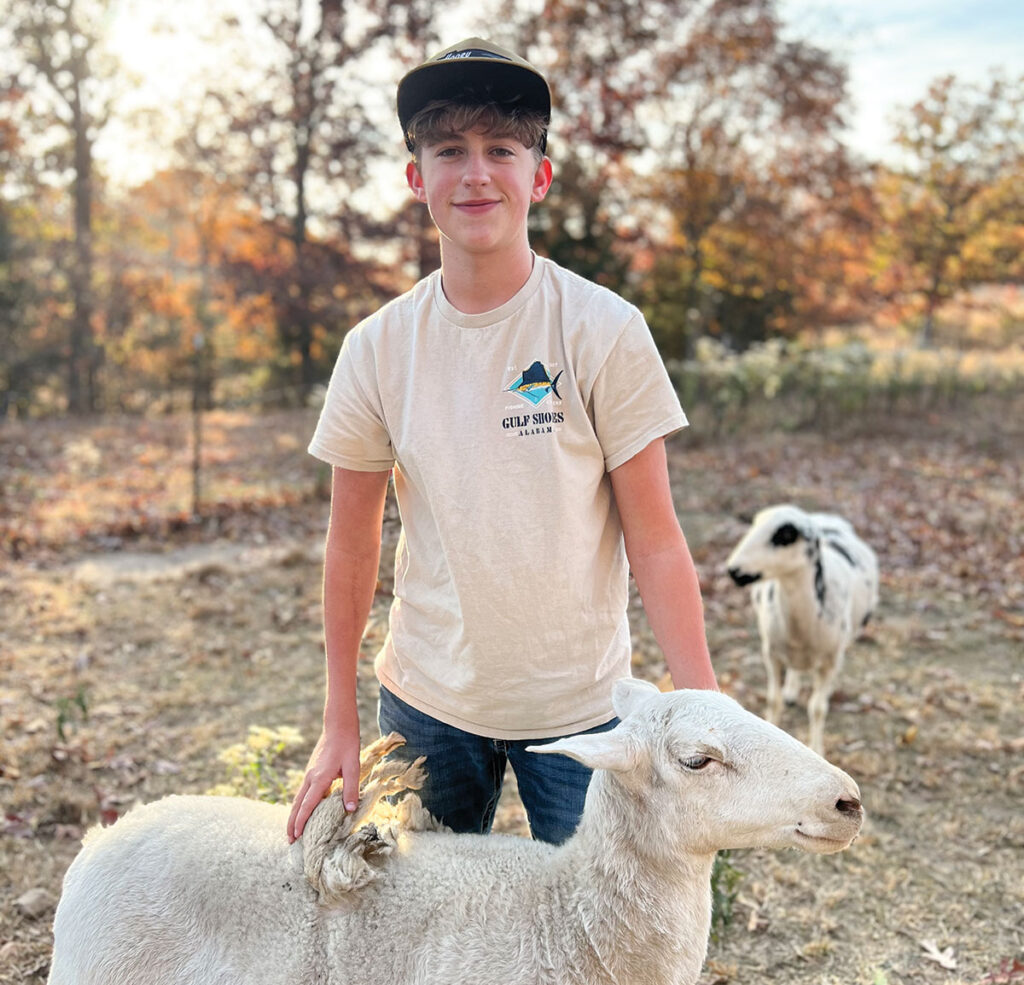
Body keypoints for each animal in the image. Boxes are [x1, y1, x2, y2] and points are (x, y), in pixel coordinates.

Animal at [724, 503, 876, 757]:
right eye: (754, 525)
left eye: (784, 536)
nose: (733, 571)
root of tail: (825, 517)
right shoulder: (771, 653)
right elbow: (773, 700)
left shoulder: (830, 660)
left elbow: (817, 707)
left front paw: (817, 748)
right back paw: (791, 690)